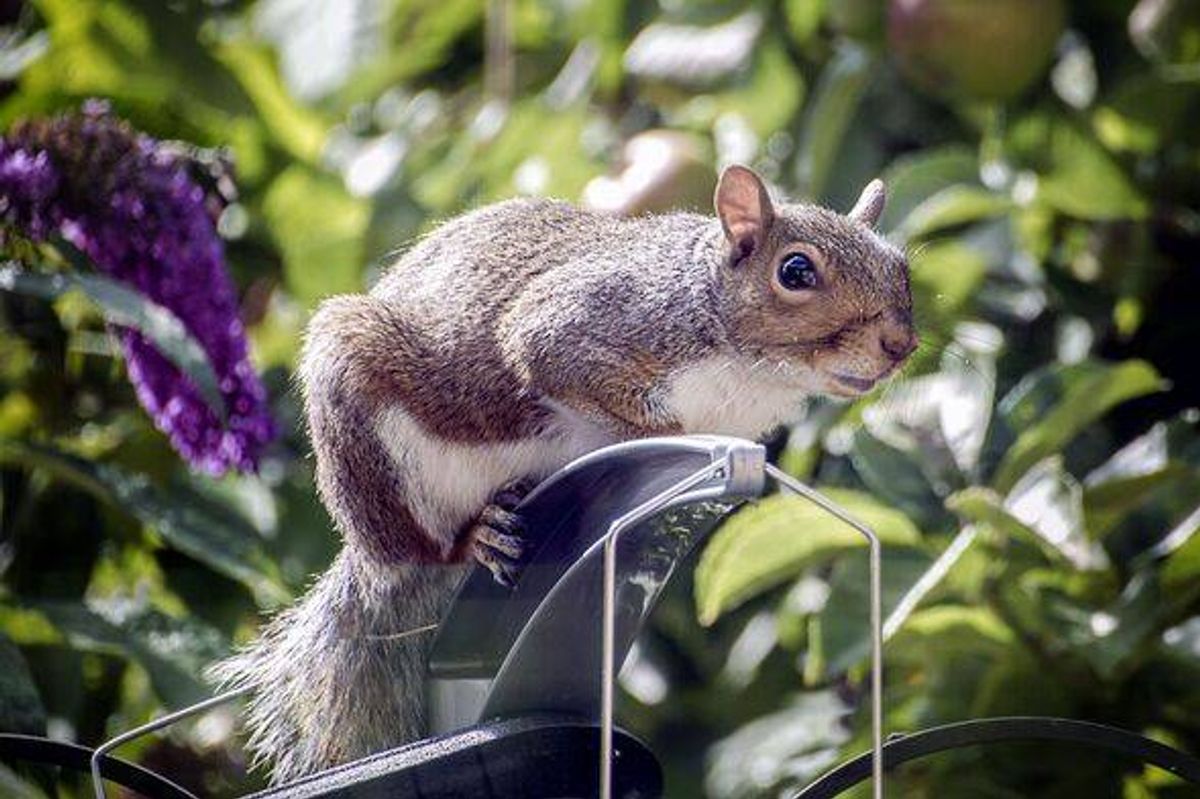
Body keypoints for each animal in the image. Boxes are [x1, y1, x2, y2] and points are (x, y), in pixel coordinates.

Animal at [210, 165, 916, 783]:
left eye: (901, 267)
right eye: (796, 271)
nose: (900, 345)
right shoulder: (582, 326)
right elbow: (572, 371)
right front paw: (660, 436)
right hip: (364, 427)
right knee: (415, 549)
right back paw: (471, 538)